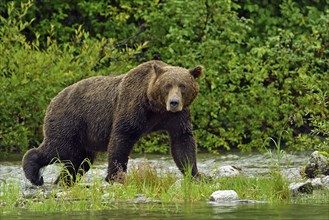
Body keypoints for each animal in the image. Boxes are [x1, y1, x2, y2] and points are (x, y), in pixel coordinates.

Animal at [21, 60, 201, 186]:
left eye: (182, 86)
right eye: (167, 85)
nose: (174, 102)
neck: (155, 107)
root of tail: (53, 99)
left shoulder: (176, 117)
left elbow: (182, 142)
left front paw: (195, 175)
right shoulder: (132, 106)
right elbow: (122, 137)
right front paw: (114, 177)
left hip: (83, 136)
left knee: (79, 161)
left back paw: (63, 180)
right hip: (69, 121)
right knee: (57, 148)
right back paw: (34, 174)